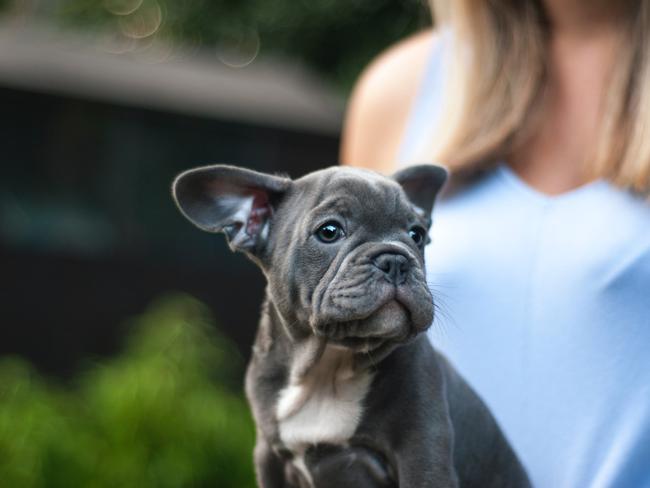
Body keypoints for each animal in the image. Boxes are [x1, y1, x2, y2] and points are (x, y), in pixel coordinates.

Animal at [171, 165, 528, 488]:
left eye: (417, 235)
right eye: (329, 231)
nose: (395, 259)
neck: (328, 365)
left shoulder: (423, 455)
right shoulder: (269, 459)